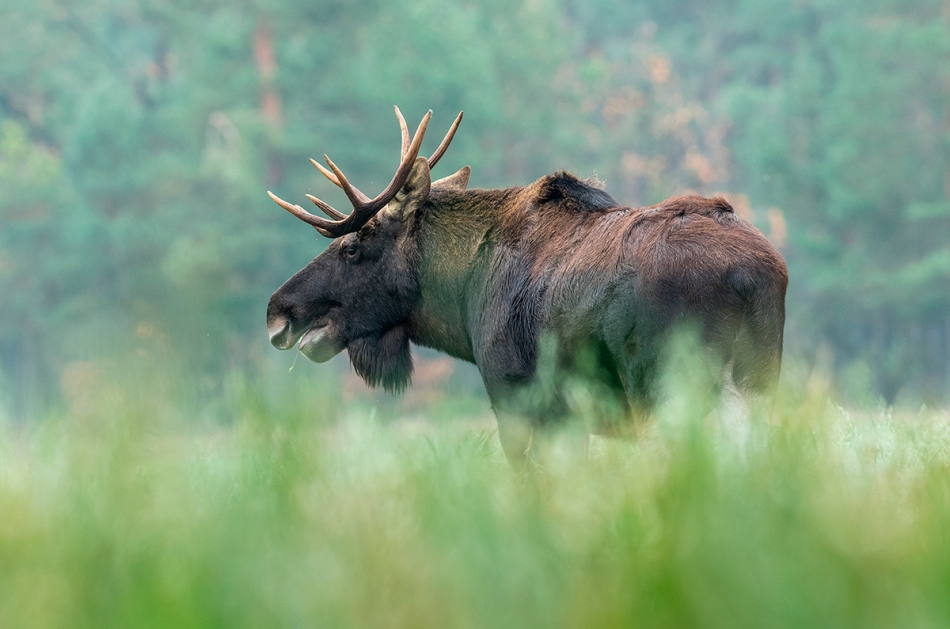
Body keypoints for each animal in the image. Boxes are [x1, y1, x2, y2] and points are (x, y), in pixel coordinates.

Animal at [266, 108, 788, 467]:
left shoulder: (516, 398)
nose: (277, 311)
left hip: (667, 389)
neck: (460, 300)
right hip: (756, 384)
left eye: (352, 247)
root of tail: (752, 278)